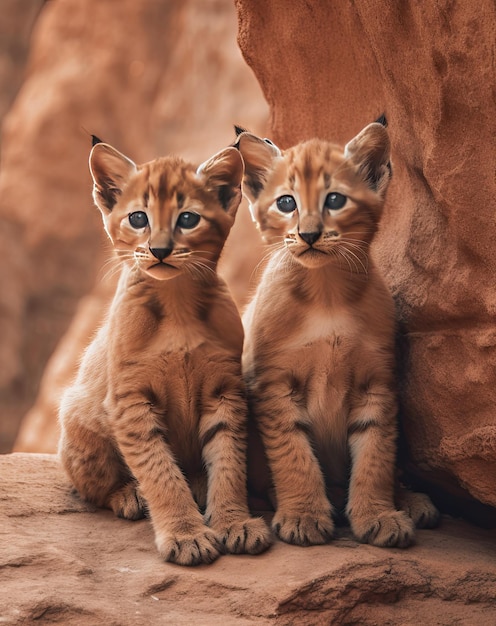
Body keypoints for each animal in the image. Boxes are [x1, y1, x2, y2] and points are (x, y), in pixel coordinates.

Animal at [58, 141, 272, 564]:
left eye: (188, 219)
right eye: (137, 218)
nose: (158, 250)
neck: (177, 300)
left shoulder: (225, 391)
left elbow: (229, 463)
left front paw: (233, 521)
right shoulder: (131, 401)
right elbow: (160, 471)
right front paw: (186, 534)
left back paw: (200, 487)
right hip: (76, 412)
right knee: (92, 489)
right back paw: (129, 494)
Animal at [236, 122, 438, 544]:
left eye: (334, 199)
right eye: (286, 203)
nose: (309, 235)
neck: (325, 289)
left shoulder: (377, 381)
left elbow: (376, 455)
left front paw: (378, 514)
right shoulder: (274, 384)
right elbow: (293, 453)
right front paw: (303, 514)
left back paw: (410, 500)